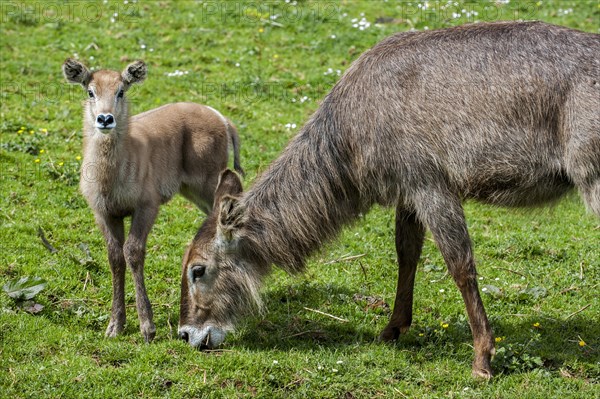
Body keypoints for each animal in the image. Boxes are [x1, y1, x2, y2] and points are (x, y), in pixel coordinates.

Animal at [63, 57, 244, 342]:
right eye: (90, 91)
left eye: (121, 90)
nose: (105, 118)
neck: (110, 181)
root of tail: (224, 120)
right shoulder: (103, 211)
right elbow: (115, 256)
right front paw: (114, 326)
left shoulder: (147, 203)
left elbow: (133, 251)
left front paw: (147, 328)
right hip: (193, 189)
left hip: (208, 178)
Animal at [179, 21, 600, 378]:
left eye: (198, 268)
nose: (186, 333)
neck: (349, 144)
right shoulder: (407, 189)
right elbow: (406, 253)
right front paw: (392, 328)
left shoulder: (430, 182)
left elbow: (460, 265)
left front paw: (482, 358)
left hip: (592, 175)